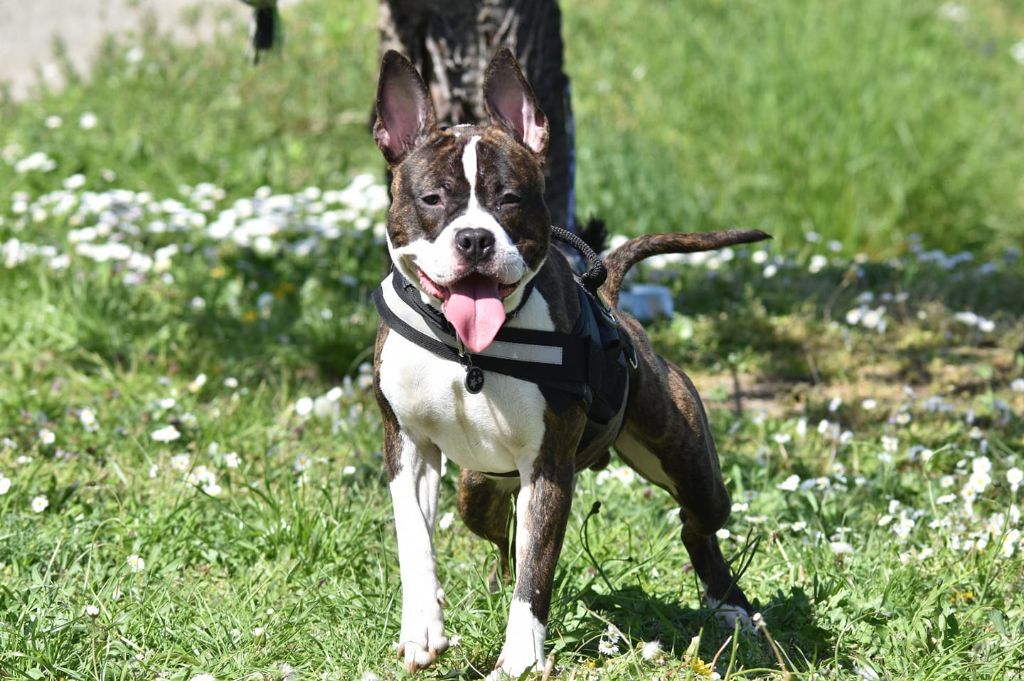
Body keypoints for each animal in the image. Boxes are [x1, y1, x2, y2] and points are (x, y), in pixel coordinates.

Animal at [371, 48, 768, 677]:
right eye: (432, 200)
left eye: (509, 198)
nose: (475, 239)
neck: (467, 351)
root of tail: (610, 300)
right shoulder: (407, 447)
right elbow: (416, 540)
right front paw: (422, 629)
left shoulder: (550, 466)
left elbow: (538, 570)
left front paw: (519, 658)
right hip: (477, 490)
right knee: (501, 541)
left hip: (689, 464)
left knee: (696, 527)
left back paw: (731, 608)